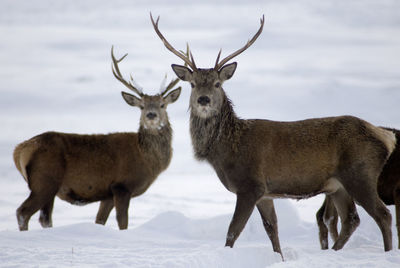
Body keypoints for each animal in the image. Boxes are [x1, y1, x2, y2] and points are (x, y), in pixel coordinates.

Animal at [12, 46, 181, 230]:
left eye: (162, 105)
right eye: (141, 107)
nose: (151, 115)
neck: (147, 159)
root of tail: (19, 150)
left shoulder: (107, 194)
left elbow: (100, 221)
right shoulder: (121, 186)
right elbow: (123, 222)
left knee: (45, 218)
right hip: (45, 180)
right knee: (23, 212)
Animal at [152, 13, 396, 255]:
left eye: (217, 83)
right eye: (193, 84)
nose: (204, 100)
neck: (227, 150)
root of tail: (386, 137)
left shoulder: (251, 185)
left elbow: (233, 231)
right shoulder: (265, 193)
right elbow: (272, 229)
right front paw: (279, 257)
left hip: (360, 174)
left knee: (383, 215)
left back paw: (386, 253)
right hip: (338, 185)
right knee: (351, 219)